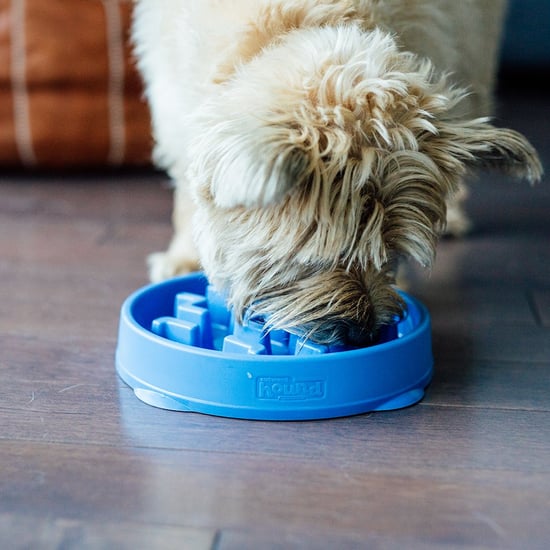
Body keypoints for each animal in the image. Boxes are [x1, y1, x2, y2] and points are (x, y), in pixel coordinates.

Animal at [133, 0, 544, 348]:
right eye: (314, 258)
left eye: (392, 252)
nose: (365, 334)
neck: (295, 22)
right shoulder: (174, 102)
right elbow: (187, 195)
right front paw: (185, 256)